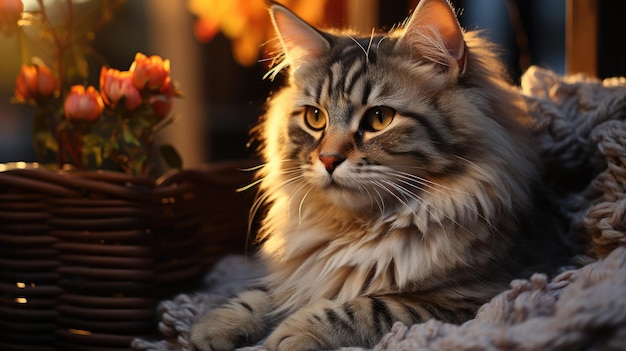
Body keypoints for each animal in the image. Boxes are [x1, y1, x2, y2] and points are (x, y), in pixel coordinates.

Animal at [188, 0, 560, 351]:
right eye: (314, 118)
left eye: (379, 118)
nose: (328, 159)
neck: (355, 228)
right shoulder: (296, 272)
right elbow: (258, 295)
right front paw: (213, 327)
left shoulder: (473, 296)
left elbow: (364, 306)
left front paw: (290, 333)